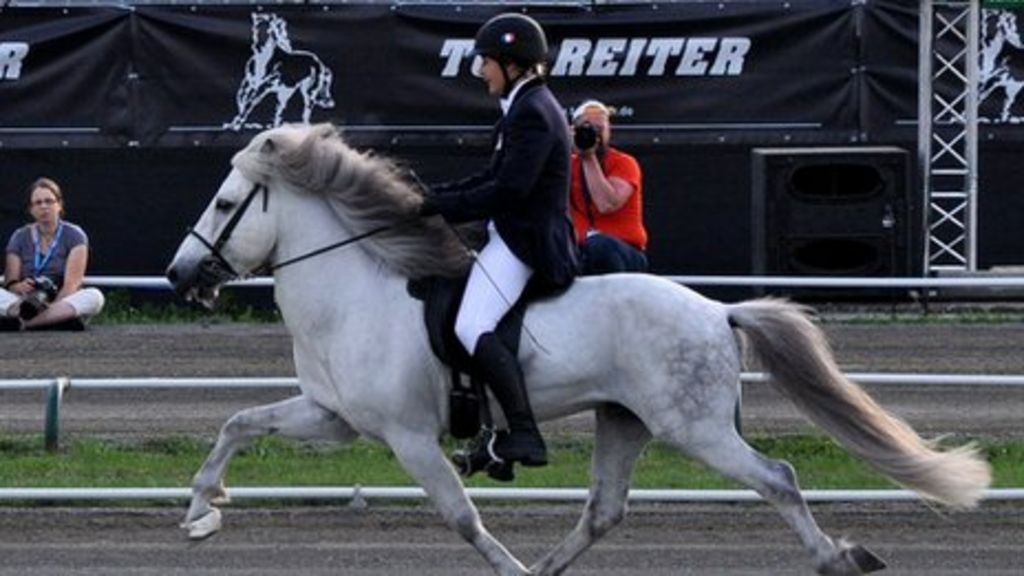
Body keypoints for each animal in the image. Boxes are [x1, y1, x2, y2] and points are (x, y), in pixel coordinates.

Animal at [166, 123, 990, 576]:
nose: (179, 275)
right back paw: (548, 570)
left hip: (696, 429)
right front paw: (203, 509)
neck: (355, 293)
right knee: (604, 511)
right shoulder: (333, 416)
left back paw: (838, 558)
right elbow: (238, 424)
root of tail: (719, 310)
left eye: (223, 201)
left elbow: (462, 519)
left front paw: (504, 565)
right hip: (623, 422)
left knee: (778, 478)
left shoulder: (408, 436)